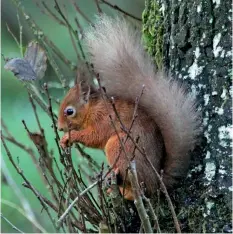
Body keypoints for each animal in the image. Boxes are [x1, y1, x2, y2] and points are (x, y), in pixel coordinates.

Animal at [57, 15, 201, 200]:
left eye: (70, 111)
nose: (59, 127)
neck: (92, 108)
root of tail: (156, 183)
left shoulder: (104, 118)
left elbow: (95, 136)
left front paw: (70, 137)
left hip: (120, 145)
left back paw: (116, 176)